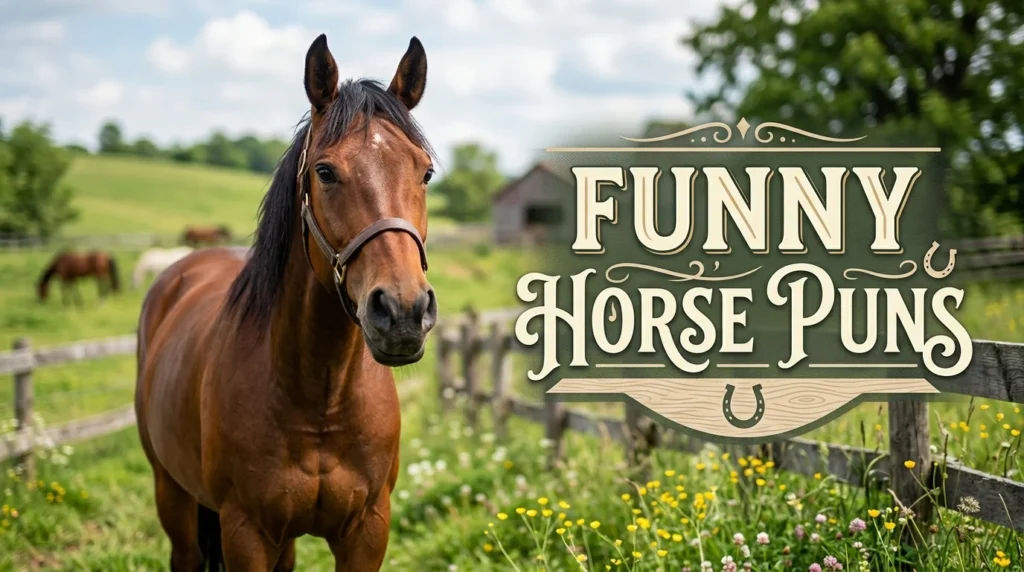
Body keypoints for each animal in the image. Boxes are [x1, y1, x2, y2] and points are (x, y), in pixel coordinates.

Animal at [135, 35, 437, 571]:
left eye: (425, 173)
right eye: (325, 172)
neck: (320, 399)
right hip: (172, 494)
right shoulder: (245, 532)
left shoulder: (367, 531)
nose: (403, 312)